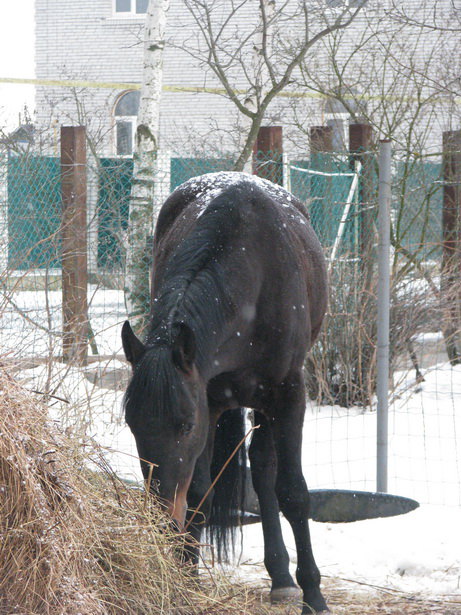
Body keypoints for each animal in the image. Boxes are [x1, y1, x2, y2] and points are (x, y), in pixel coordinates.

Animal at [122, 171, 328, 612]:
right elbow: (200, 492)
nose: (160, 518)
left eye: (184, 426)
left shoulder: (290, 394)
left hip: (269, 401)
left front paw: (314, 594)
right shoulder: (211, 399)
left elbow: (294, 492)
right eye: (131, 425)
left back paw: (284, 580)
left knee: (266, 470)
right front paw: (184, 578)